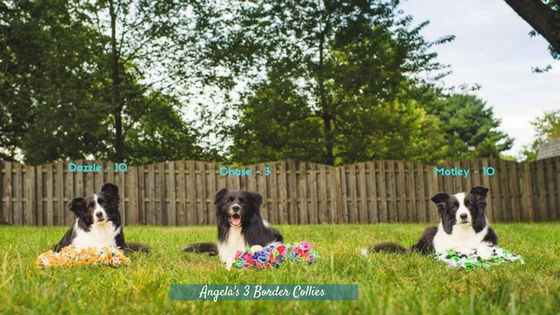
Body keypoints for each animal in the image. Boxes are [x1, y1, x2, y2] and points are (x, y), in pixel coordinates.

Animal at [366, 186, 496, 260]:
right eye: (454, 207)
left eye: (470, 205)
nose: (463, 215)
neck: (464, 231)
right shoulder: (442, 247)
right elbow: (456, 247)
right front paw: (468, 250)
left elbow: (483, 244)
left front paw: (485, 253)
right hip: (427, 232)